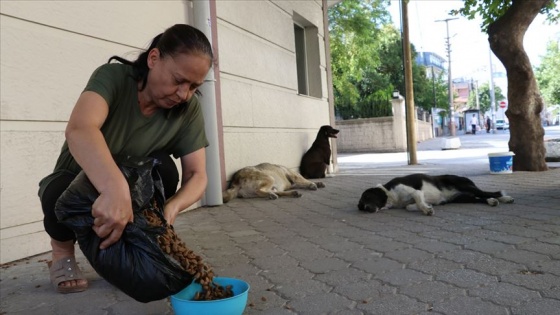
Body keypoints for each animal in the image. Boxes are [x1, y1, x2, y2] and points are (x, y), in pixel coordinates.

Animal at [356, 174, 516, 216]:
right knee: (481, 198)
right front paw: (428, 206)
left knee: (489, 193)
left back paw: (506, 198)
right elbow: (410, 206)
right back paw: (491, 201)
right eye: (362, 206)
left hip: (467, 187)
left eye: (368, 197)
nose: (368, 209)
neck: (390, 194)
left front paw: (426, 210)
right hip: (464, 198)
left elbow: (418, 202)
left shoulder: (416, 192)